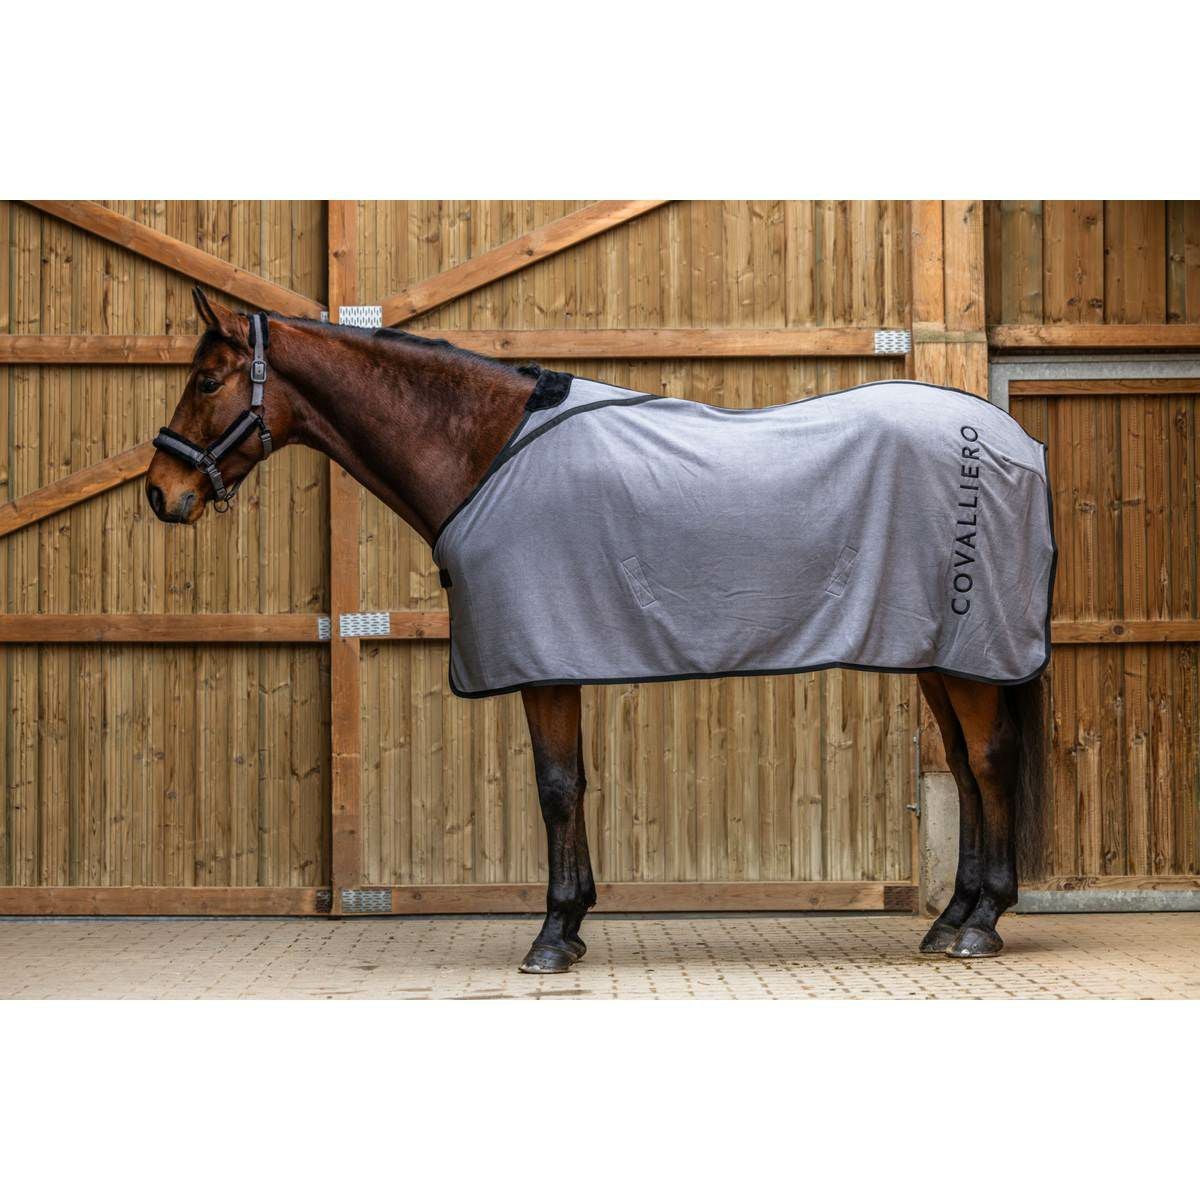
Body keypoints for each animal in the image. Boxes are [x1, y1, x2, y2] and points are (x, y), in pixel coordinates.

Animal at [146, 287, 1049, 973]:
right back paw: (950, 919)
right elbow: (572, 782)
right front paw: (574, 922)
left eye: (206, 379)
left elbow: (555, 788)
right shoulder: (556, 652)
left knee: (989, 760)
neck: (487, 452)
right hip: (937, 652)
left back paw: (980, 923)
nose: (160, 492)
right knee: (965, 767)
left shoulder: (543, 656)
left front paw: (552, 935)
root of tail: (1012, 442)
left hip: (968, 650)